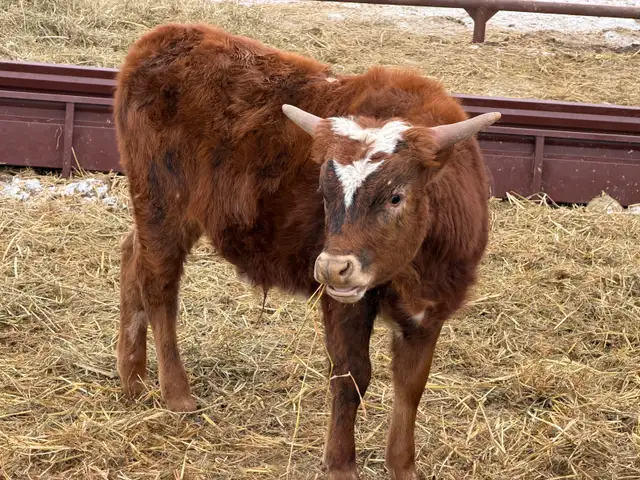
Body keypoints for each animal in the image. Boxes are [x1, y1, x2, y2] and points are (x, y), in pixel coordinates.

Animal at [113, 23, 499, 480]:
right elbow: (352, 376)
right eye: (324, 194)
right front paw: (341, 464)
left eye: (396, 197)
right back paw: (175, 392)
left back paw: (133, 379)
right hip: (161, 202)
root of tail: (165, 36)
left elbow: (411, 385)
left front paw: (402, 466)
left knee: (131, 257)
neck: (418, 267)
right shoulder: (345, 303)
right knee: (158, 284)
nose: (333, 268)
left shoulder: (429, 311)